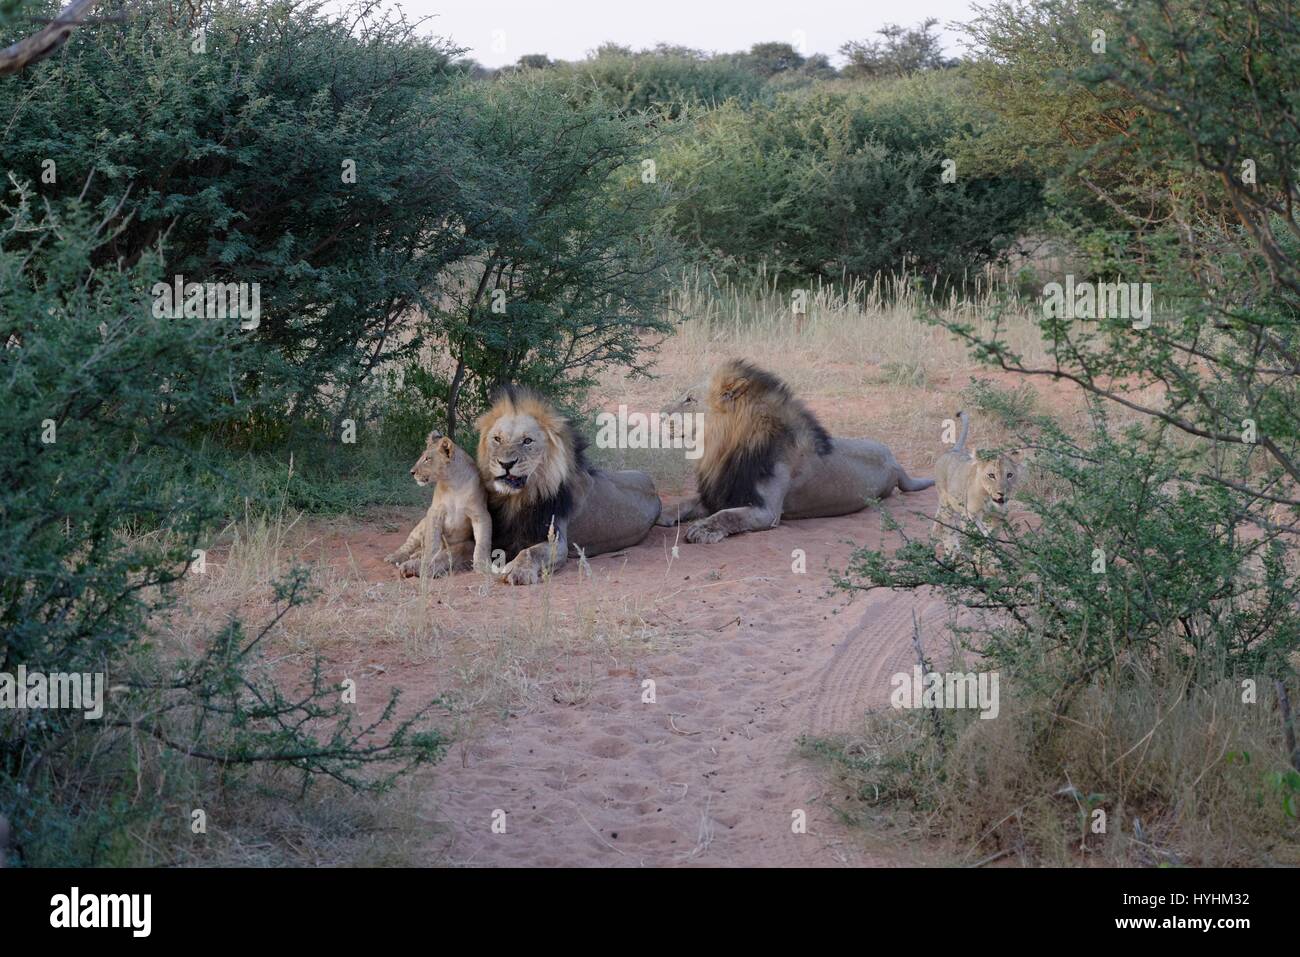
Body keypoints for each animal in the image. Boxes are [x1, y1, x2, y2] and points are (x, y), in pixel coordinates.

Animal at [384, 431, 491, 574]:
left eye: (427, 459)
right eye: (422, 456)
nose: (412, 472)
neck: (453, 484)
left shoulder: (480, 514)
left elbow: (482, 542)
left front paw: (482, 565)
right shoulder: (434, 512)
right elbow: (432, 542)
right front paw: (427, 560)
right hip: (421, 526)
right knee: (409, 545)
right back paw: (395, 557)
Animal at [660, 358, 935, 540]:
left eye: (689, 400)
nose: (661, 414)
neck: (722, 447)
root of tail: (896, 463)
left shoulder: (767, 511)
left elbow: (727, 515)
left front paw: (702, 529)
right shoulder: (721, 492)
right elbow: (685, 502)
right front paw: (663, 514)